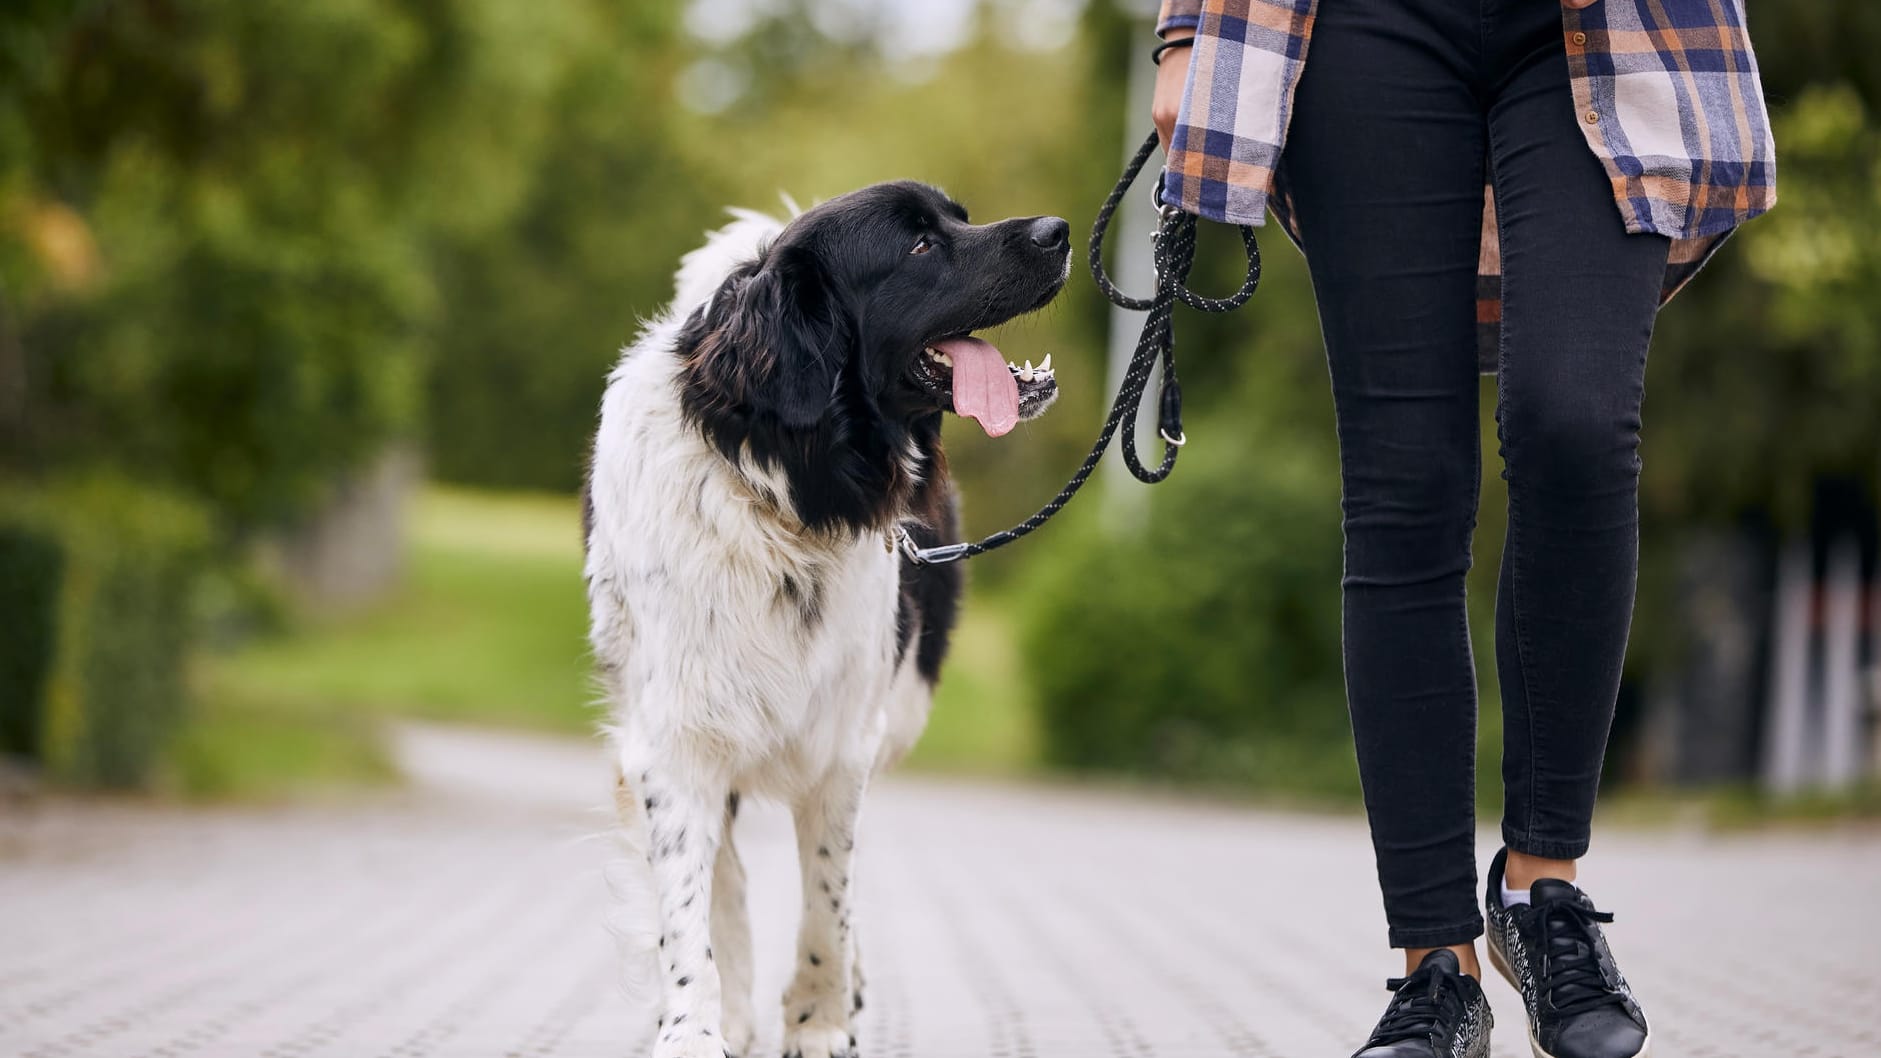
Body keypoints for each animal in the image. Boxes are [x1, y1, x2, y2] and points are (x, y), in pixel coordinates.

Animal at [579, 180, 1068, 1054]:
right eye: (917, 245)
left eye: (959, 216)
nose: (1060, 230)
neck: (782, 492)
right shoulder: (669, 742)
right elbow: (690, 909)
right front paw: (697, 1027)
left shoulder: (844, 742)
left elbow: (826, 900)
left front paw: (818, 1021)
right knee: (724, 878)